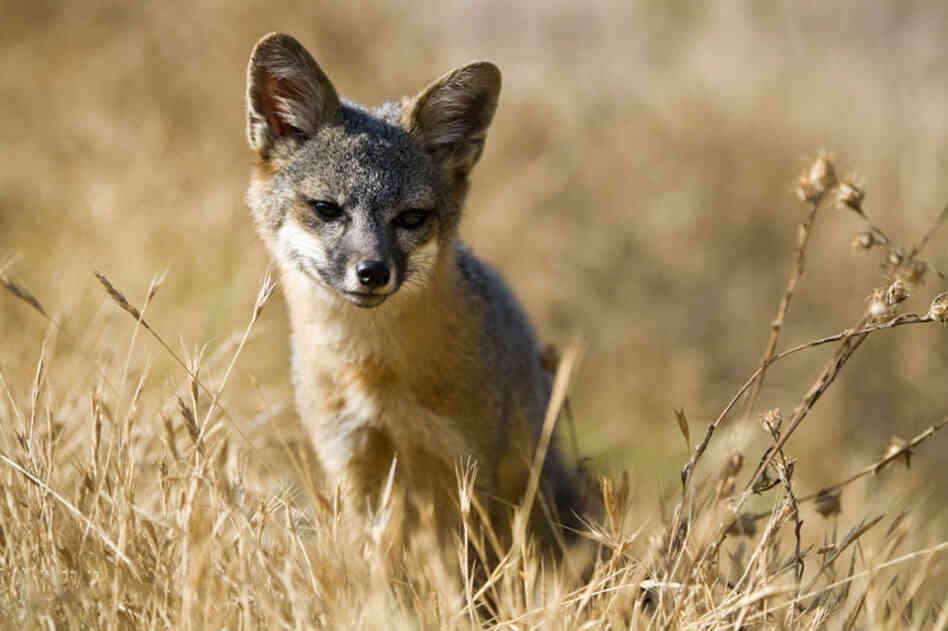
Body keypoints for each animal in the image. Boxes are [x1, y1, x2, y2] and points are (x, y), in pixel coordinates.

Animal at [244, 32, 583, 551]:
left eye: (411, 218)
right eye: (326, 209)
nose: (372, 272)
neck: (374, 370)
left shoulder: (468, 468)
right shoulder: (351, 462)